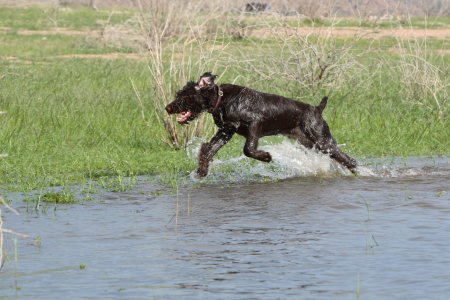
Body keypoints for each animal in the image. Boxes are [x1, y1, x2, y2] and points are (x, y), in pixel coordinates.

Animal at [163, 72, 356, 177]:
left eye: (185, 96)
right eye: (179, 93)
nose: (168, 107)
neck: (222, 100)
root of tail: (317, 109)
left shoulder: (255, 124)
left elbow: (248, 149)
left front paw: (266, 157)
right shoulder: (225, 131)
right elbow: (208, 150)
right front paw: (202, 171)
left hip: (322, 140)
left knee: (348, 159)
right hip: (310, 143)